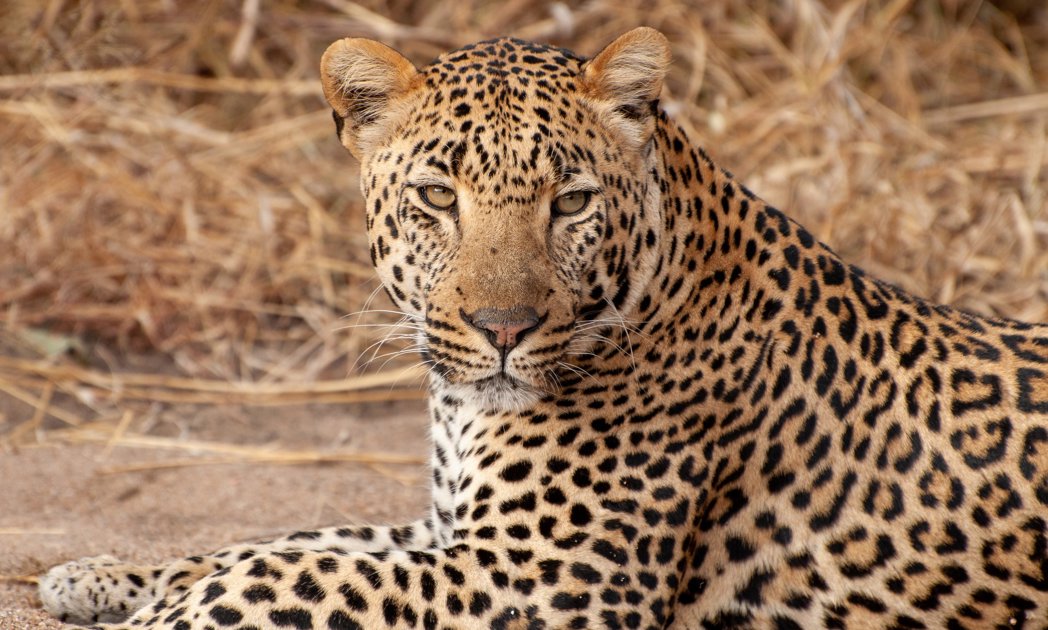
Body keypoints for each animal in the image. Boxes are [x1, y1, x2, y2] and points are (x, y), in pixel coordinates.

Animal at [39, 26, 1048, 630]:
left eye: (570, 202)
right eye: (437, 197)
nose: (503, 328)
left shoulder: (544, 579)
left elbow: (300, 570)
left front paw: (160, 612)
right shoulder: (451, 530)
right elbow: (283, 543)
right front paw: (102, 577)